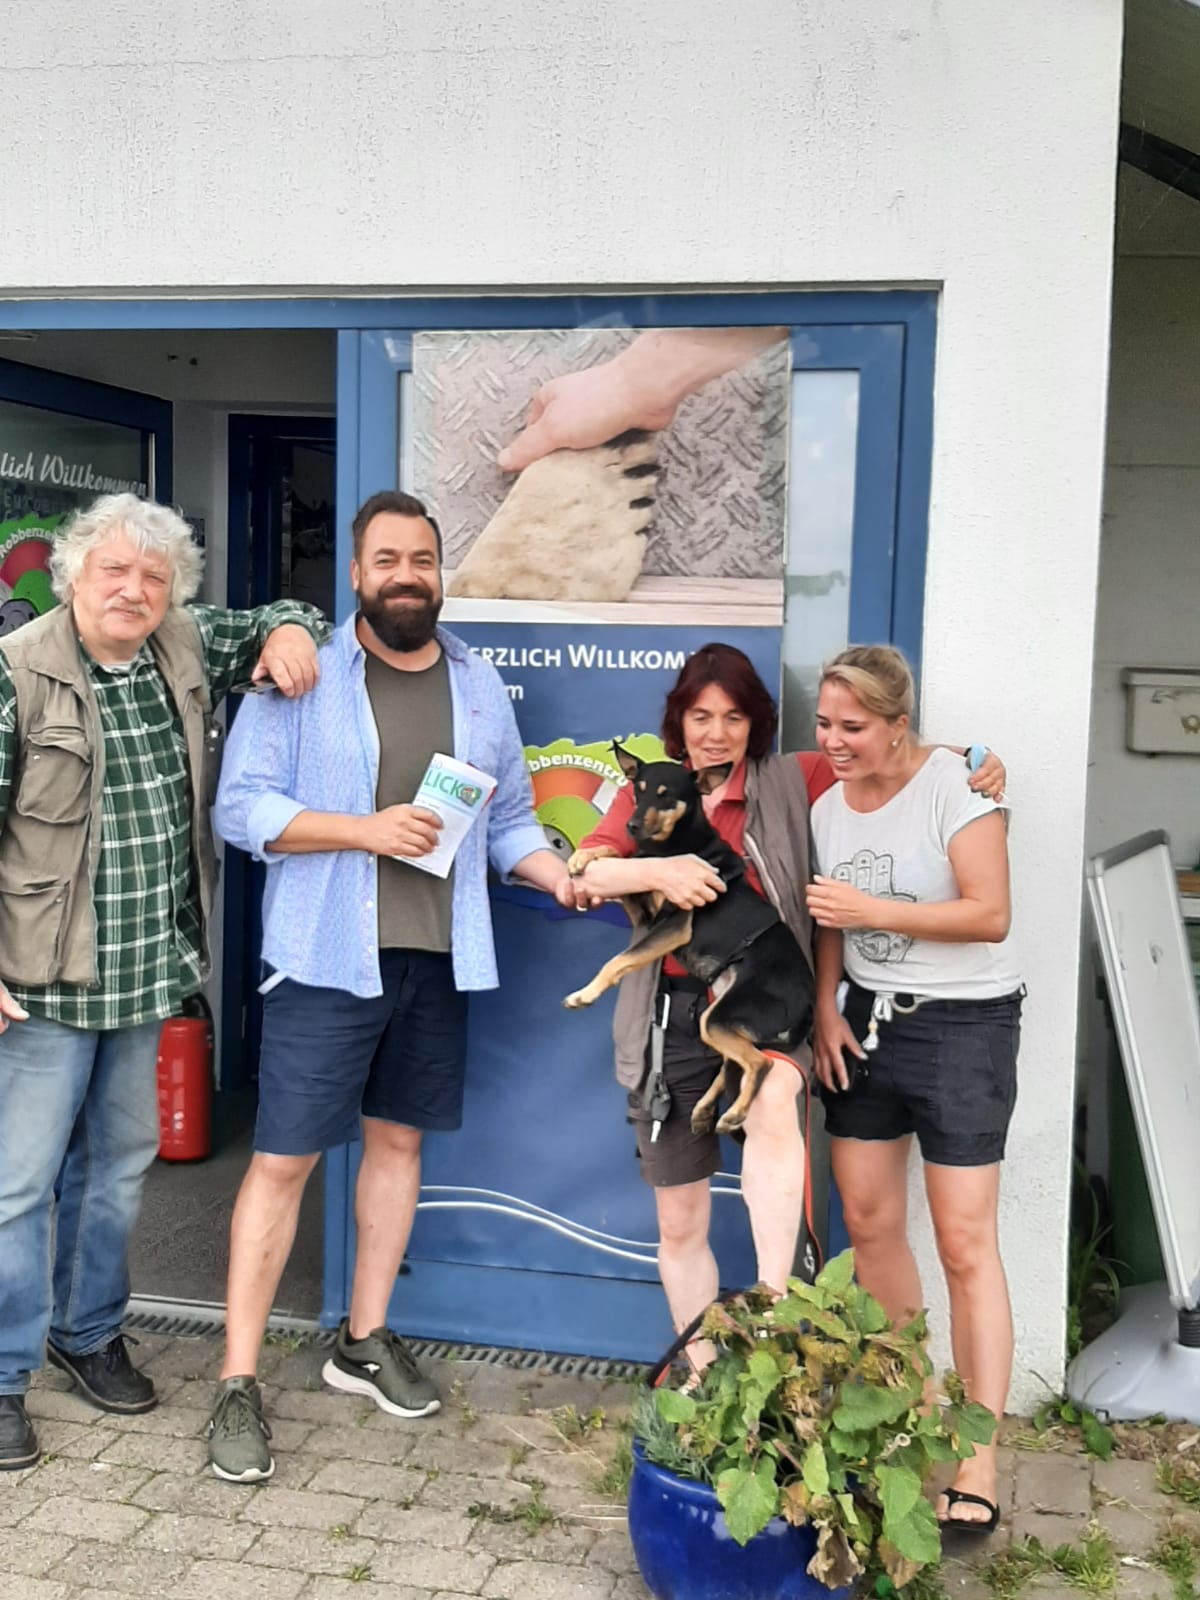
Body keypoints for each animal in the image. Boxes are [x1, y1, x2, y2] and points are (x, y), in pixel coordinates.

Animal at [562, 744, 814, 1135]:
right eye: (639, 791)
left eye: (666, 795)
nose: (632, 825)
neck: (673, 844)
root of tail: (807, 1009)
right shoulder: (646, 915)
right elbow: (627, 860)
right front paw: (583, 856)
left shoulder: (673, 926)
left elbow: (617, 960)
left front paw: (584, 995)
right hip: (719, 1017)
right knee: (734, 1064)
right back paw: (705, 1109)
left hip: (719, 1018)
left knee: (759, 1064)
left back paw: (734, 1113)